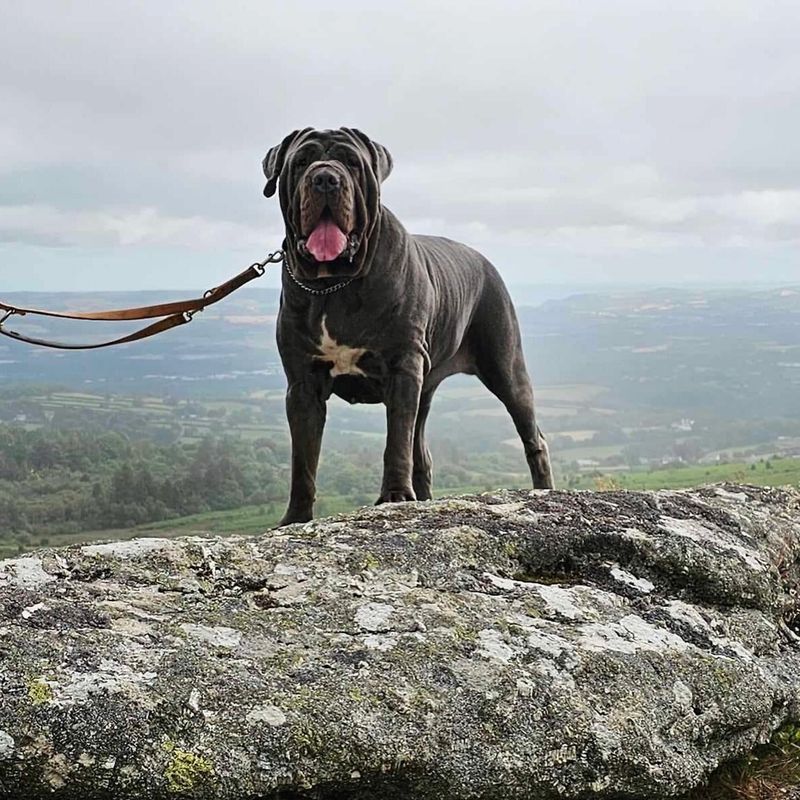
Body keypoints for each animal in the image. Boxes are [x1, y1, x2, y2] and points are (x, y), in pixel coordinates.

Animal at [262, 126, 552, 524]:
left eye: (351, 162)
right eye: (302, 161)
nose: (325, 179)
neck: (334, 285)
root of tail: (482, 259)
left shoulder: (403, 367)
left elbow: (395, 440)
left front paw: (396, 497)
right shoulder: (303, 384)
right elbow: (303, 458)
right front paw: (296, 518)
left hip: (506, 367)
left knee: (533, 437)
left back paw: (544, 493)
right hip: (427, 386)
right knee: (422, 451)